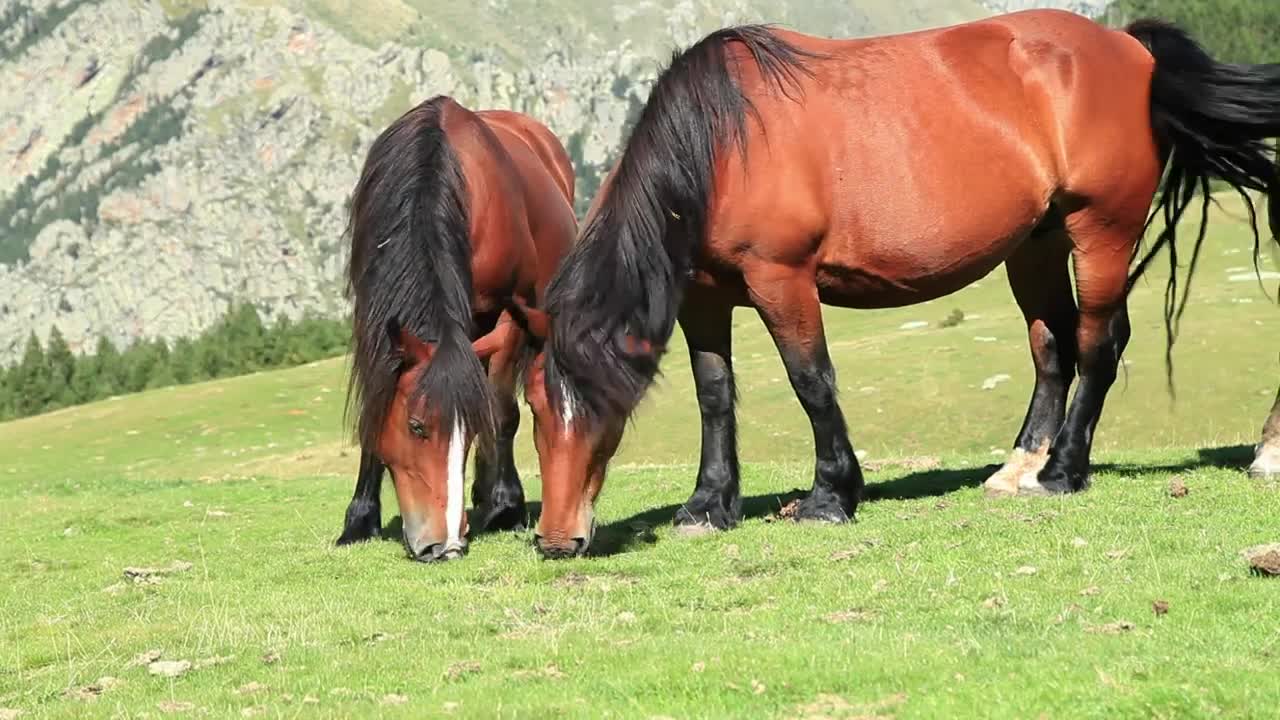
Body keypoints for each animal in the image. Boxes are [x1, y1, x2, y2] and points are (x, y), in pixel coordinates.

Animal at [335, 95, 576, 561]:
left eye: (464, 437)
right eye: (416, 427)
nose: (442, 546)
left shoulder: (506, 313)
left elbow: (498, 412)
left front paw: (505, 506)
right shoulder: (370, 312)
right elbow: (374, 404)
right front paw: (358, 520)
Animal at [502, 9, 1280, 558]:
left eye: (601, 410)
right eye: (535, 406)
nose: (557, 539)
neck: (719, 146)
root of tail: (1128, 48)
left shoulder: (781, 279)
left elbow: (811, 381)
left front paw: (830, 496)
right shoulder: (704, 294)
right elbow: (714, 394)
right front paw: (707, 506)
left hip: (1101, 231)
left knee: (1098, 344)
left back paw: (1062, 470)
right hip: (1036, 245)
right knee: (1052, 347)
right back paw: (1020, 467)